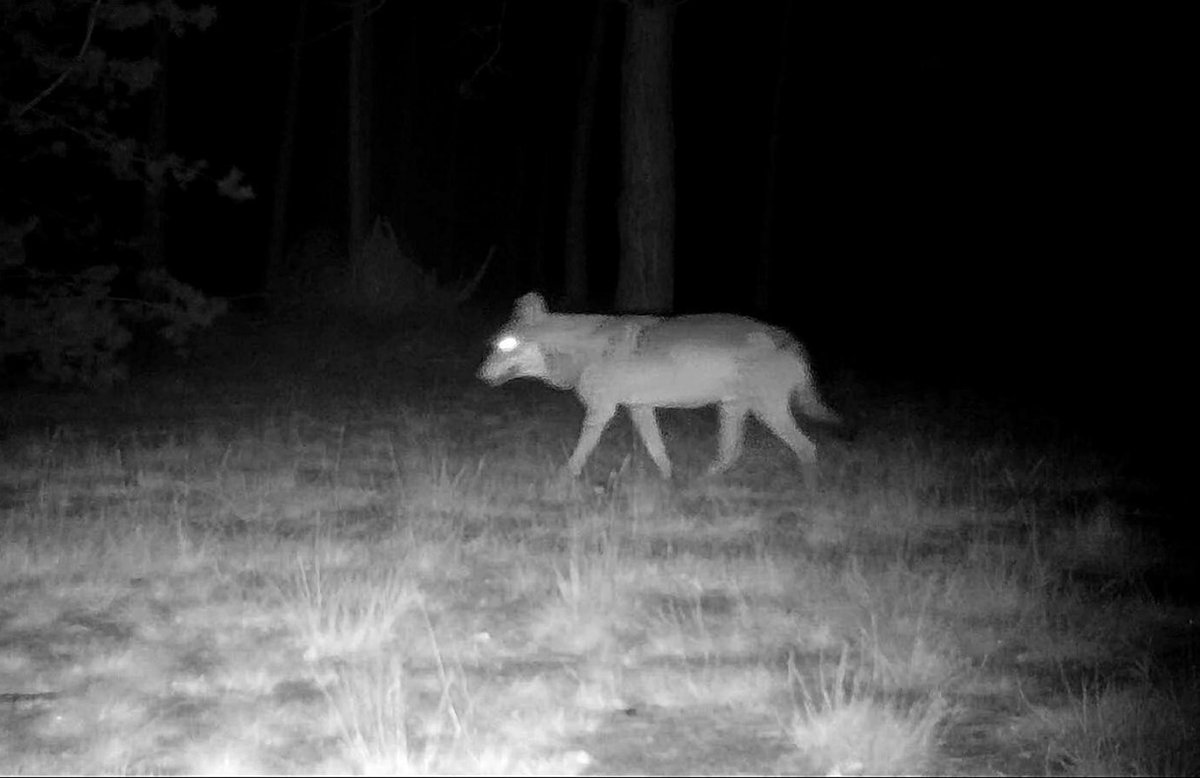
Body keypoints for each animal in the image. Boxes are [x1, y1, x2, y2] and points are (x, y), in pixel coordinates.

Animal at [478, 292, 839, 480]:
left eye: (505, 345)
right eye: (496, 345)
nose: (480, 376)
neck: (582, 349)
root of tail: (789, 339)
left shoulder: (602, 410)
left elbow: (582, 449)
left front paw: (566, 476)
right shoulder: (639, 408)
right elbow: (657, 449)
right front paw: (668, 480)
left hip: (767, 411)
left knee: (807, 448)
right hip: (732, 410)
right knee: (731, 453)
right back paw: (703, 479)